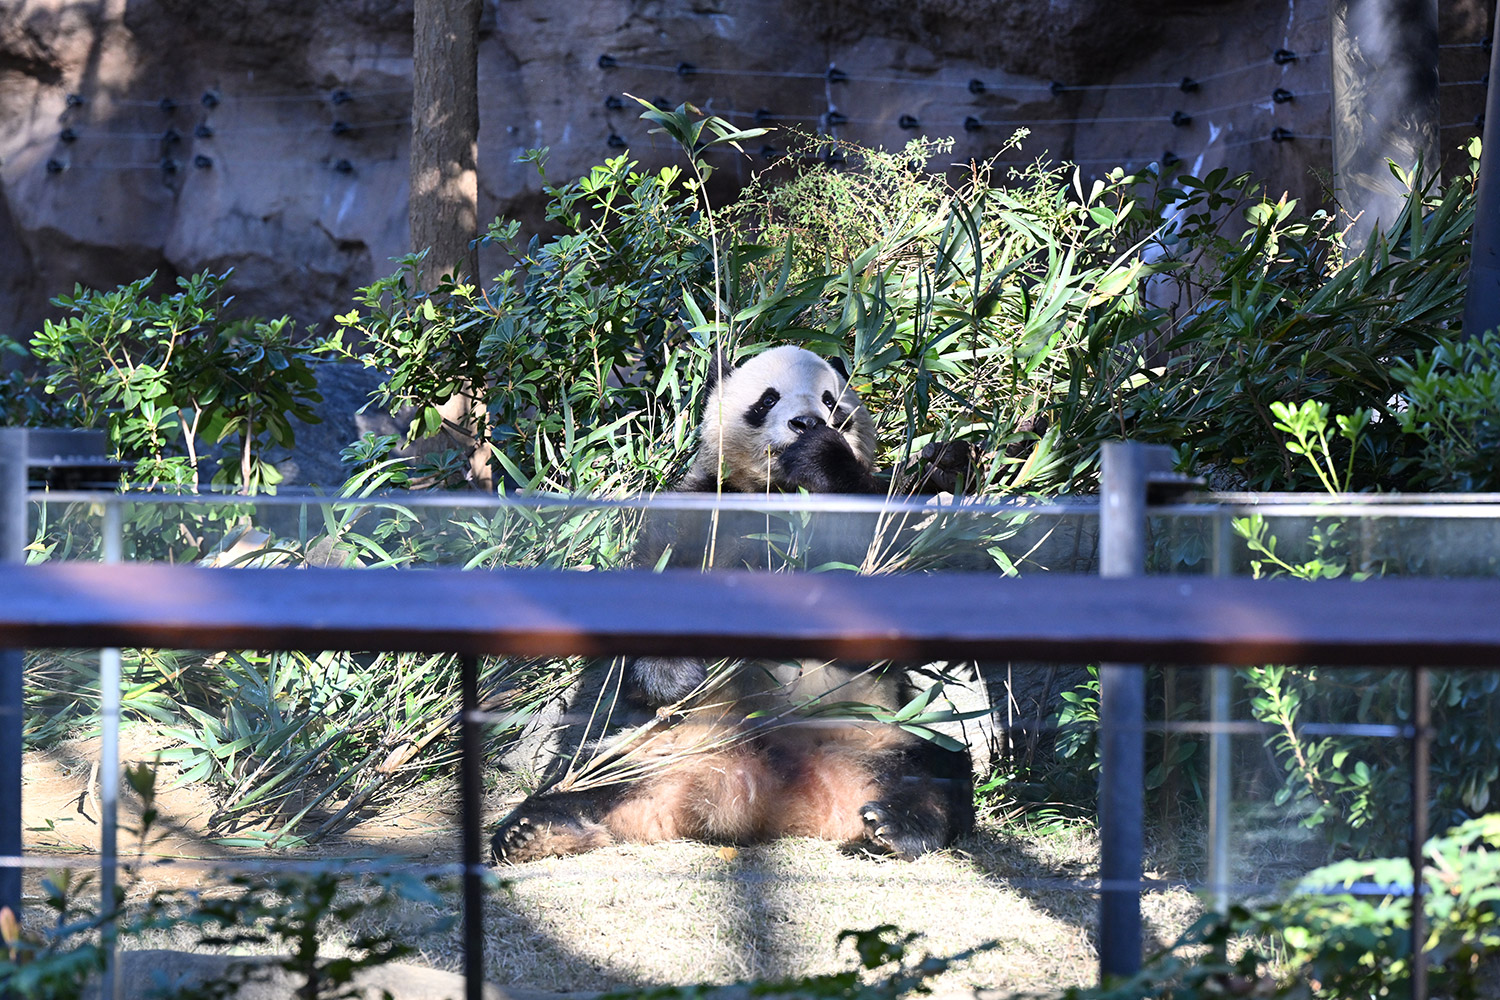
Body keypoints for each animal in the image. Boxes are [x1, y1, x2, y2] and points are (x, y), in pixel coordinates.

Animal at [492, 344, 978, 863]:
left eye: (831, 400)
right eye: (768, 399)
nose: (807, 423)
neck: (782, 496)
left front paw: (942, 464)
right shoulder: (701, 506)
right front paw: (674, 675)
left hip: (882, 730)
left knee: (936, 771)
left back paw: (897, 825)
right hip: (649, 742)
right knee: (585, 773)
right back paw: (537, 830)